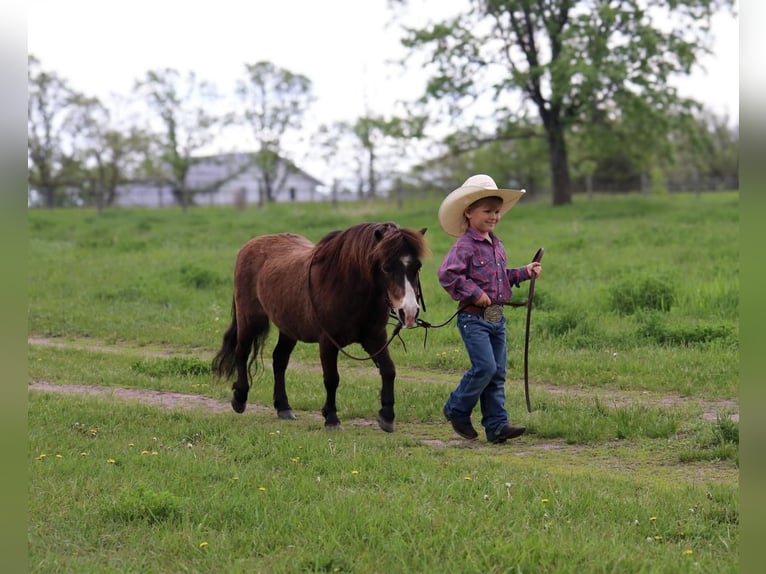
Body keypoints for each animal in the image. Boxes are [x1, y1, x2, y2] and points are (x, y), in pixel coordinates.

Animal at [213, 223, 428, 434]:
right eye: (386, 267)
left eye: (417, 266)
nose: (409, 312)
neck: (346, 285)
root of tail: (249, 246)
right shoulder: (328, 341)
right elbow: (332, 379)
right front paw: (331, 418)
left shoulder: (375, 337)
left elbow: (388, 370)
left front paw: (387, 416)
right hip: (249, 319)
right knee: (242, 352)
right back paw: (240, 399)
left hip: (289, 328)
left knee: (279, 360)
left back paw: (283, 407)